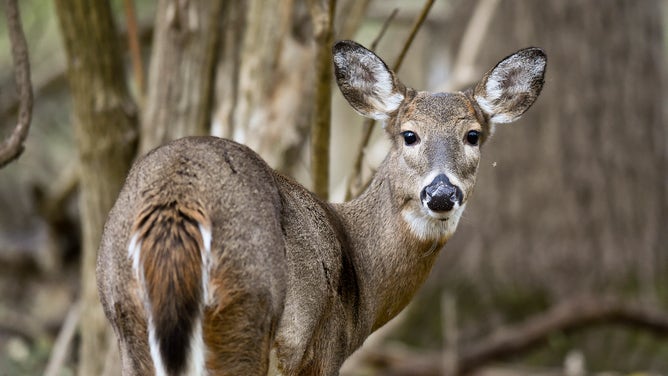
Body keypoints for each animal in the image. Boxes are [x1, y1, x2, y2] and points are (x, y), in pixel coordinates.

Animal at [96, 39, 544, 374]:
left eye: (473, 136)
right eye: (409, 135)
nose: (440, 194)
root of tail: (178, 201)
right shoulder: (323, 349)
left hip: (127, 319)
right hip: (245, 314)